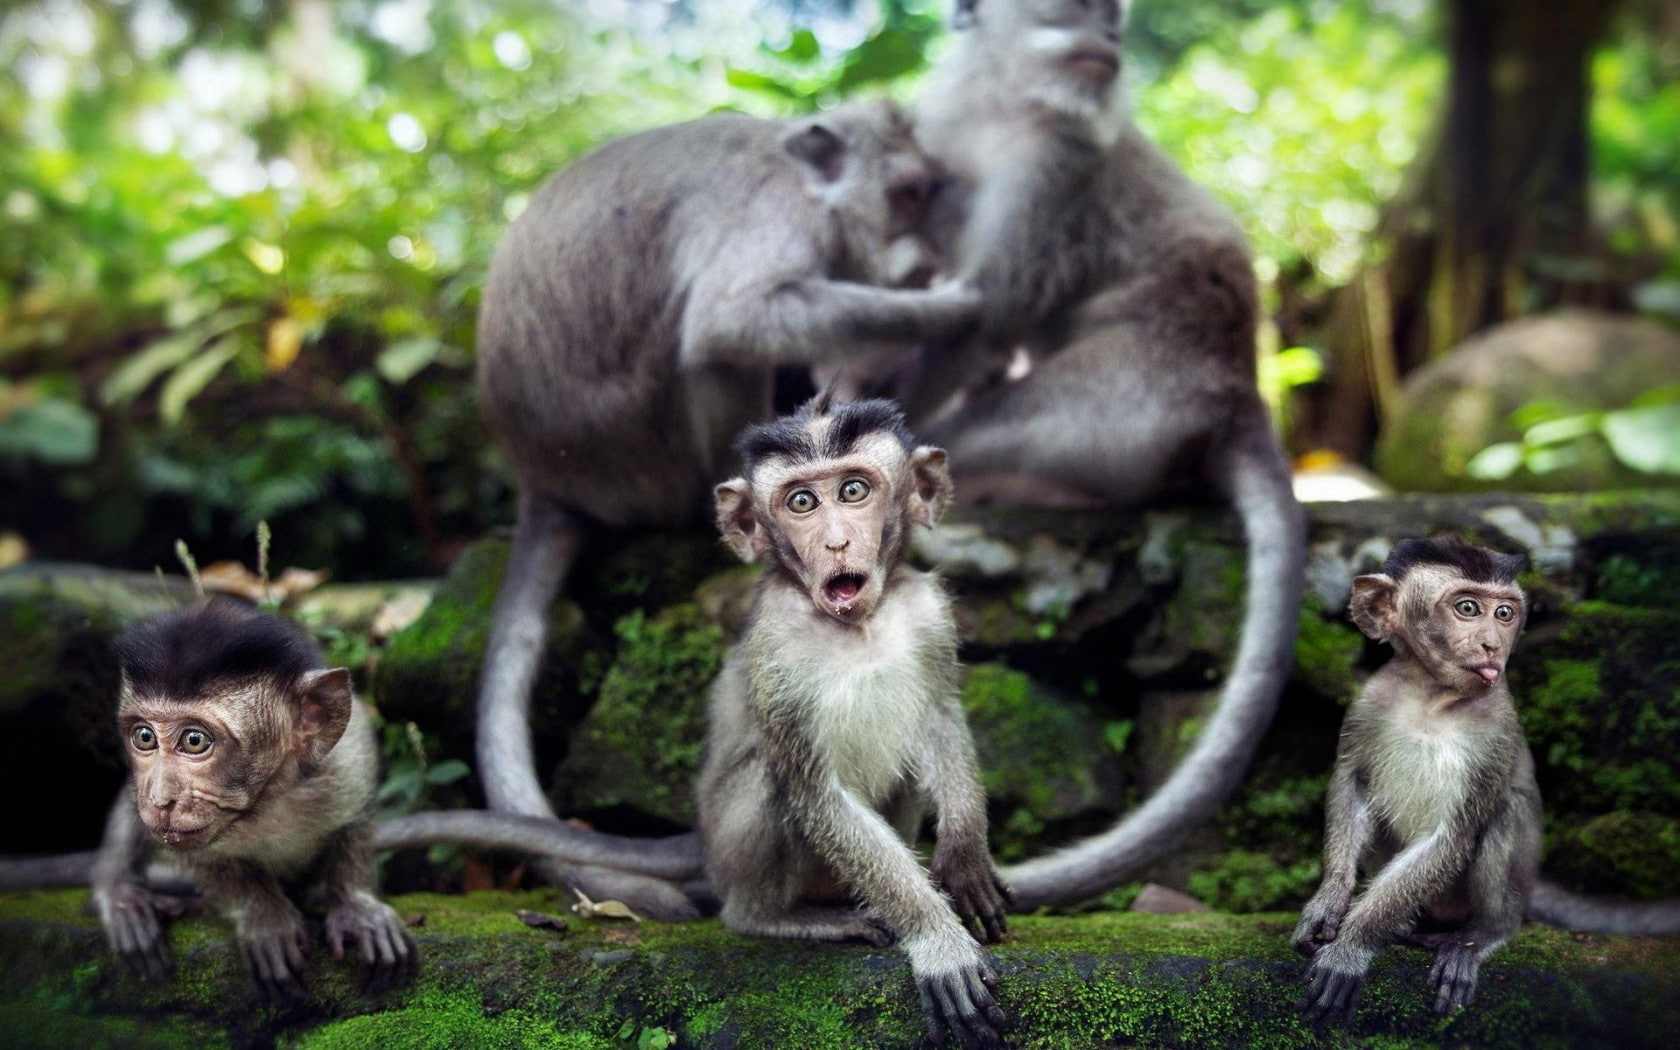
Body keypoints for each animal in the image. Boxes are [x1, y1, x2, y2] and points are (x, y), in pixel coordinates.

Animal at [473, 100, 981, 918]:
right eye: (906, 193)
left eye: (927, 192)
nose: (925, 256)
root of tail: (540, 481)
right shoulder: (775, 213)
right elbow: (734, 319)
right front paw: (945, 307)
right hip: (639, 461)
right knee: (715, 354)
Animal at [697, 395, 1011, 1050]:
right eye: (801, 503)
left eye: (853, 490)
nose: (837, 543)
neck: (857, 626)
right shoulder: (778, 653)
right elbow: (816, 793)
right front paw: (936, 941)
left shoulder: (927, 611)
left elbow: (941, 714)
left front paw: (966, 856)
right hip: (730, 857)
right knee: (771, 782)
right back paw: (776, 918)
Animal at [873, 0, 1308, 910]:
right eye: (1077, 10)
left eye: (1114, 17)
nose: (1109, 37)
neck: (1007, 104)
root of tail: (1236, 390)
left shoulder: (1055, 170)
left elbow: (983, 311)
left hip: (1120, 407)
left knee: (991, 428)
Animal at [1292, 536, 1680, 1025]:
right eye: (1468, 608)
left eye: (1505, 613)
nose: (1493, 644)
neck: (1432, 697)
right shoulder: (1368, 702)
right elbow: (1352, 785)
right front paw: (1328, 901)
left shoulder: (1495, 726)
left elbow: (1454, 834)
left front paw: (1351, 946)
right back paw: (1404, 925)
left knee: (1503, 813)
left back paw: (1481, 935)